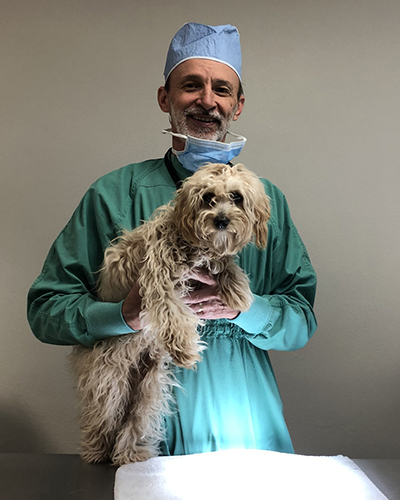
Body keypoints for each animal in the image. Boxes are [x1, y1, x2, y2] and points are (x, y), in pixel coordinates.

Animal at [69, 163, 268, 464]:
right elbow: (169, 312)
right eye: (208, 198)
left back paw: (132, 453)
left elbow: (224, 264)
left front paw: (238, 288)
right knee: (105, 415)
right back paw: (97, 450)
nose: (221, 221)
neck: (191, 241)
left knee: (137, 417)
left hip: (151, 383)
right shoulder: (157, 278)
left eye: (236, 197)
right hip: (109, 375)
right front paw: (184, 347)